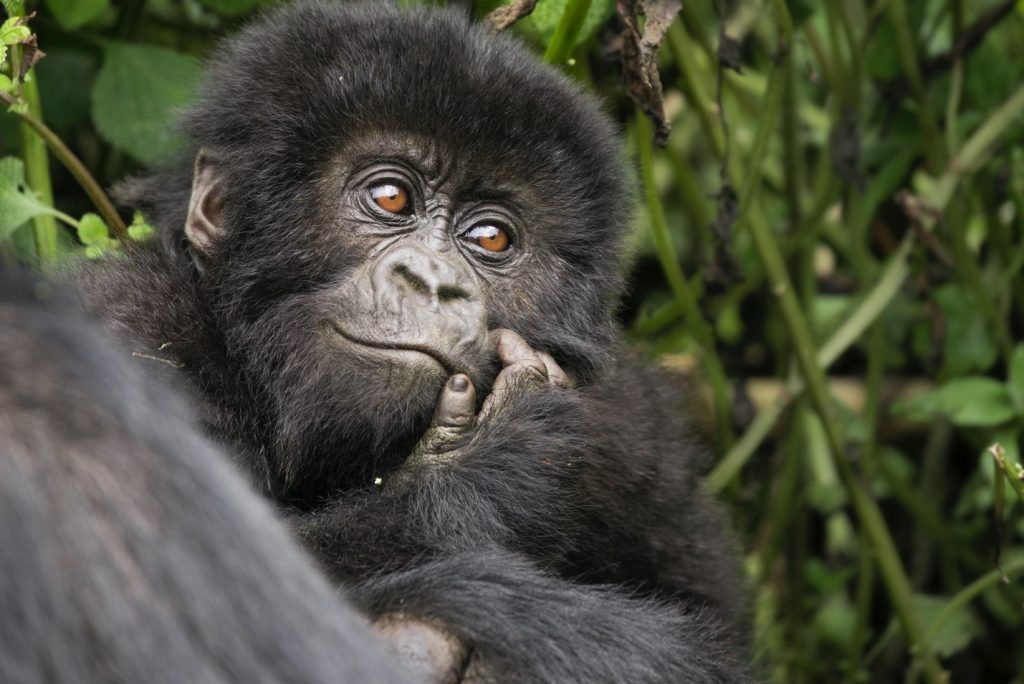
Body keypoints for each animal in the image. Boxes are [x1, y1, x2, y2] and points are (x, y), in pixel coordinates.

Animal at [77, 2, 756, 680]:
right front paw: (497, 458)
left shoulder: (627, 422)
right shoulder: (132, 325)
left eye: (490, 237)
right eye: (391, 197)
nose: (433, 281)